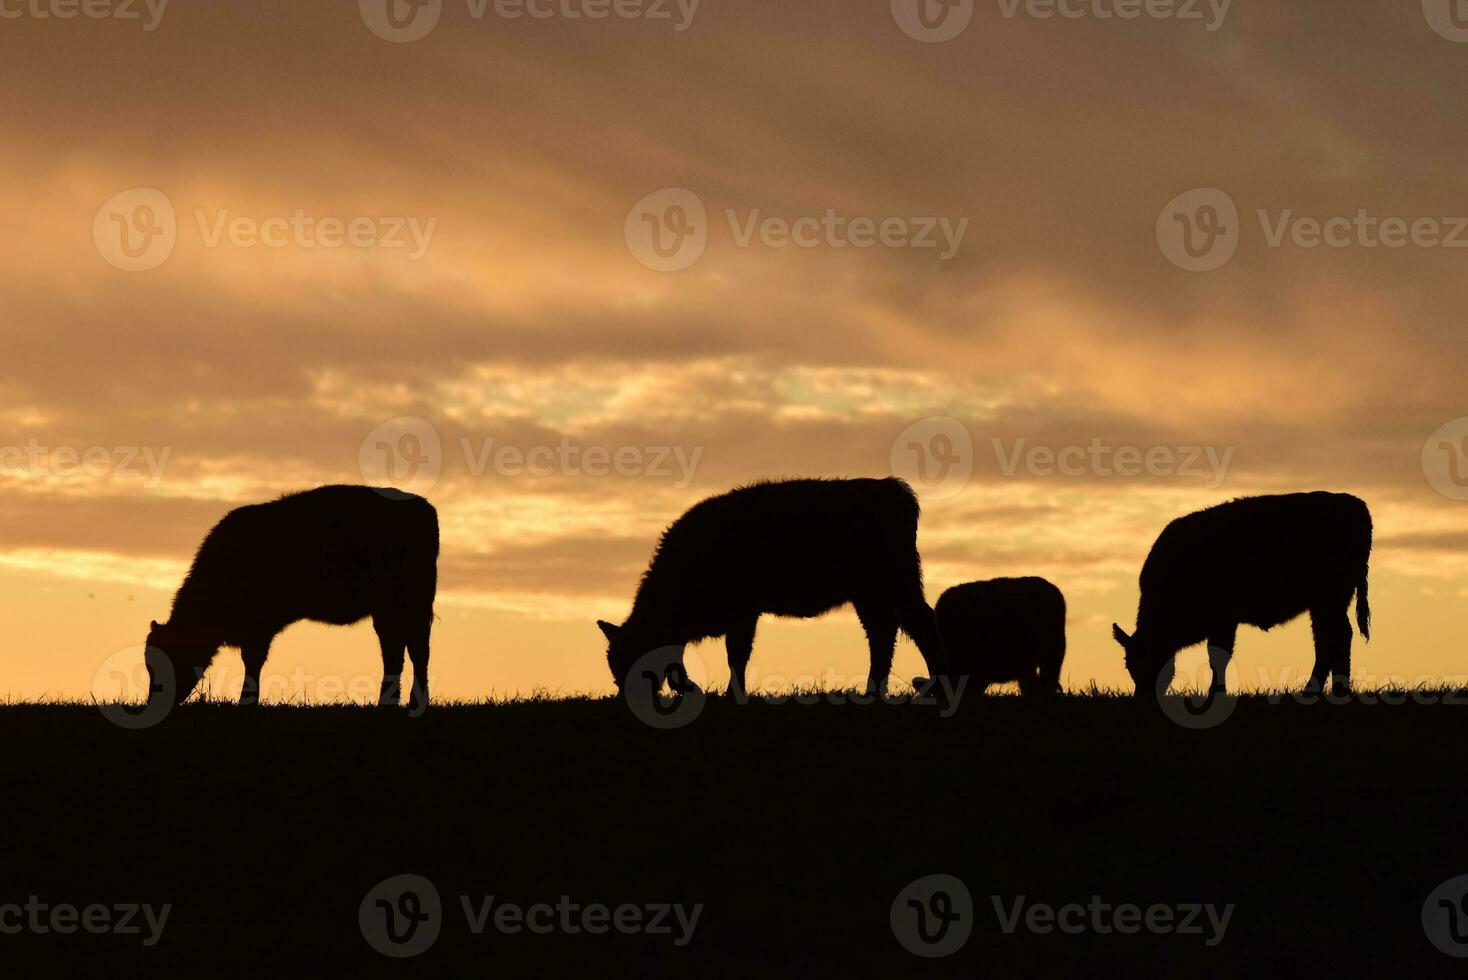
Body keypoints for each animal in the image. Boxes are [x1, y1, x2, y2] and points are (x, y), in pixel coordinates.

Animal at [145, 489, 437, 712]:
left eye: (170, 660)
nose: (154, 703)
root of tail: (423, 506)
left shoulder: (258, 630)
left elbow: (253, 662)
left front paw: (246, 702)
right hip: (388, 612)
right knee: (395, 651)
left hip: (413, 606)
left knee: (417, 651)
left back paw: (415, 703)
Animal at [596, 478, 951, 701]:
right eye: (614, 667)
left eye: (636, 661)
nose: (627, 700)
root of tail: (892, 487)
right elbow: (680, 665)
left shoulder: (743, 613)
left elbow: (736, 655)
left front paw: (732, 695)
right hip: (869, 594)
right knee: (883, 634)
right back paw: (873, 692)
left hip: (897, 583)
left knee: (919, 623)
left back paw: (937, 687)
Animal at [1115, 489, 1368, 695]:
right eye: (1129, 665)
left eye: (1155, 658)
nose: (1143, 696)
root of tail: (1354, 504)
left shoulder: (1223, 621)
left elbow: (1218, 657)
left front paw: (1216, 694)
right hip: (1325, 604)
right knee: (1330, 639)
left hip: (1329, 600)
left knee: (1335, 637)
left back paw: (1327, 691)